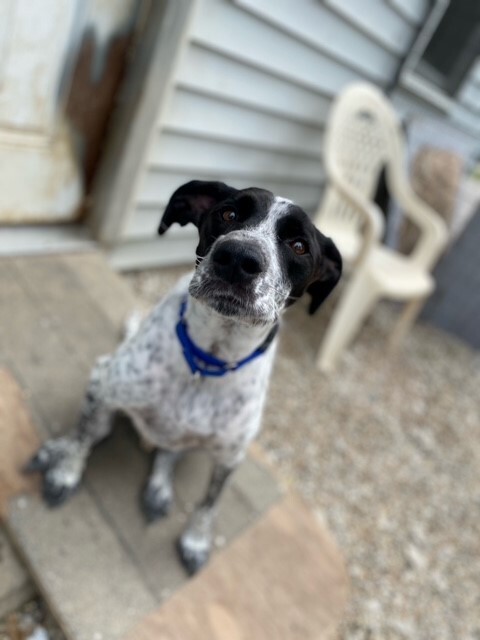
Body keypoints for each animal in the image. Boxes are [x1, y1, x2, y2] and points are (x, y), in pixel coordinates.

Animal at [26, 180, 342, 576]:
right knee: (91, 429)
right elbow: (81, 441)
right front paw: (65, 473)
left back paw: (159, 488)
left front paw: (196, 541)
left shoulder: (230, 457)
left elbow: (208, 505)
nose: (237, 257)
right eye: (228, 213)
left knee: (168, 453)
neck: (207, 360)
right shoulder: (106, 384)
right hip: (101, 386)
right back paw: (57, 450)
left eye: (299, 245)